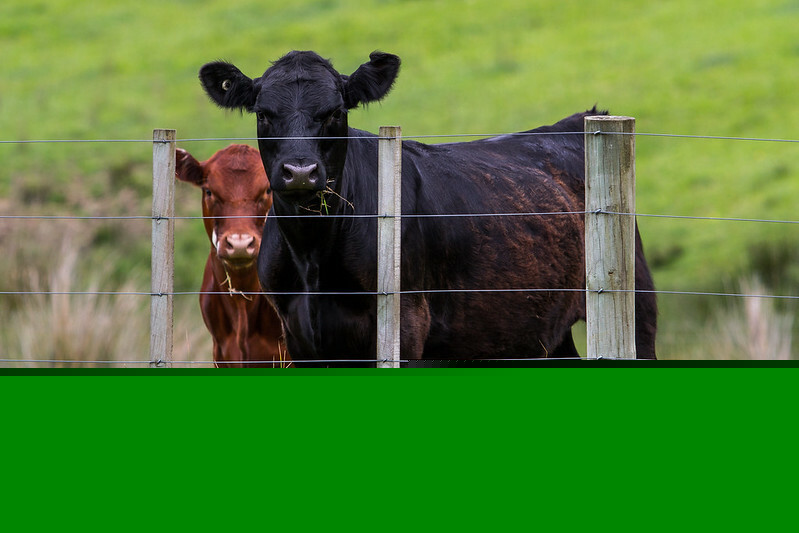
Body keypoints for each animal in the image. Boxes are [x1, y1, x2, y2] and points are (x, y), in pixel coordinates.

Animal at [198, 50, 657, 366]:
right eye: (263, 114)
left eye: (335, 112)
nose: (299, 172)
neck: (313, 257)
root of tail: (583, 118)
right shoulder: (296, 335)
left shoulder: (405, 325)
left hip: (639, 302)